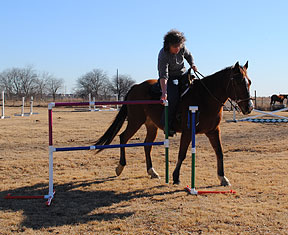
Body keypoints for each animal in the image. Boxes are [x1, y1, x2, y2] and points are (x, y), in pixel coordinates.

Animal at [94, 61, 252, 186]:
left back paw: (152, 171)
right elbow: (182, 154)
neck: (205, 97)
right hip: (135, 121)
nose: (249, 107)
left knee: (147, 145)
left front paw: (223, 178)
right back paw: (120, 167)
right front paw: (176, 177)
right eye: (238, 82)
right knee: (123, 138)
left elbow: (219, 152)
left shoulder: (213, 131)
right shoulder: (188, 131)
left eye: (249, 82)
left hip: (151, 126)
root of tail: (136, 86)